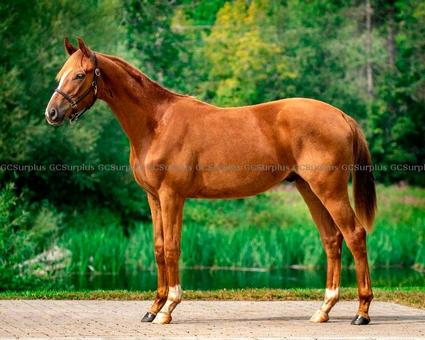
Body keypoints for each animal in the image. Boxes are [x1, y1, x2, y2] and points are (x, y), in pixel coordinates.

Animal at [45, 37, 374, 326]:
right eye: (59, 75)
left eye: (79, 75)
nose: (52, 113)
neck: (156, 123)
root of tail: (342, 116)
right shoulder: (153, 197)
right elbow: (158, 248)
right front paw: (153, 308)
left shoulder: (172, 196)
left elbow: (172, 248)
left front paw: (169, 308)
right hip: (309, 189)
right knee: (332, 240)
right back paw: (324, 310)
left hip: (330, 190)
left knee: (355, 235)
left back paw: (362, 311)